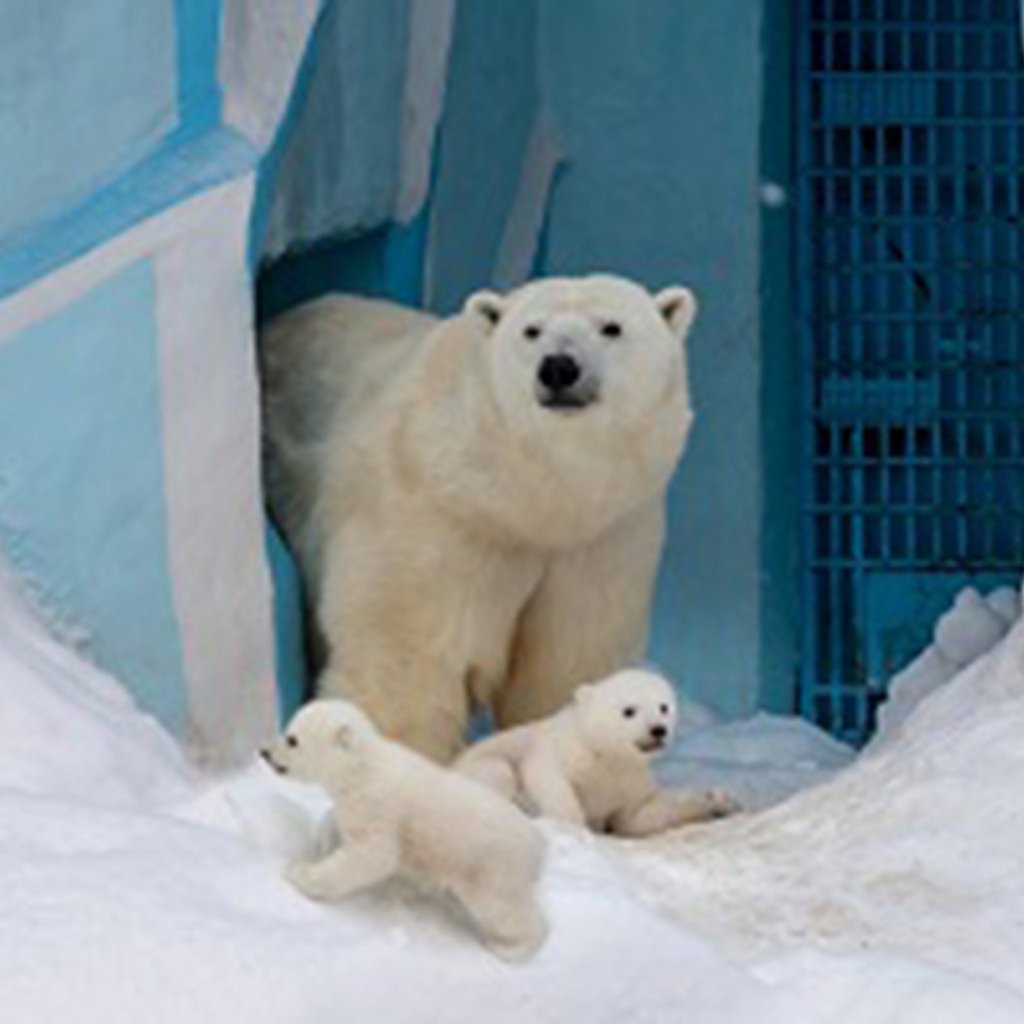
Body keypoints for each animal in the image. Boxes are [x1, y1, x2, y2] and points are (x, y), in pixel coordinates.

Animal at [260, 276, 700, 765]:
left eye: (611, 327)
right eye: (531, 330)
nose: (558, 368)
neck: (519, 503)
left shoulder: (601, 539)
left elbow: (565, 661)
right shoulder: (433, 517)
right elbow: (406, 653)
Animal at [266, 696, 552, 958]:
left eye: (292, 739)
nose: (265, 752)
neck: (362, 767)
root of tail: (537, 844)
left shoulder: (377, 805)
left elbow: (374, 856)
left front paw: (298, 872)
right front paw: (324, 841)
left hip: (490, 869)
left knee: (504, 909)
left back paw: (509, 947)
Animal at [452, 667, 733, 835]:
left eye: (664, 706)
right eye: (629, 710)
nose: (658, 730)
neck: (606, 756)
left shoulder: (629, 782)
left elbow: (639, 816)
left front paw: (715, 801)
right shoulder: (566, 750)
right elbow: (546, 776)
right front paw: (575, 826)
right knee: (497, 770)